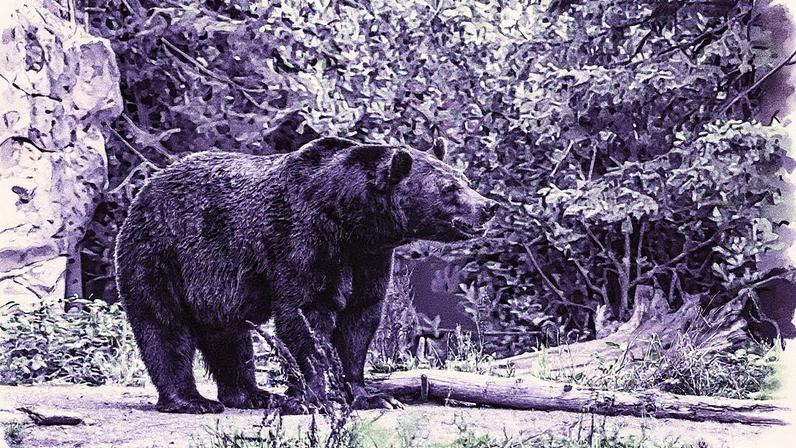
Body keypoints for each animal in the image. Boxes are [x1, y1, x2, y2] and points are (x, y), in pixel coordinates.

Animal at [114, 136, 497, 414]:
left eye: (464, 180)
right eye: (448, 188)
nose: (488, 206)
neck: (350, 219)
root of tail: (144, 190)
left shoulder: (368, 258)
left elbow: (360, 319)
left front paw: (371, 395)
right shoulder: (304, 240)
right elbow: (307, 315)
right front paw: (317, 397)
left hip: (211, 283)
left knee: (229, 335)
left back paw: (253, 394)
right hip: (161, 254)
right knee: (164, 326)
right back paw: (192, 401)